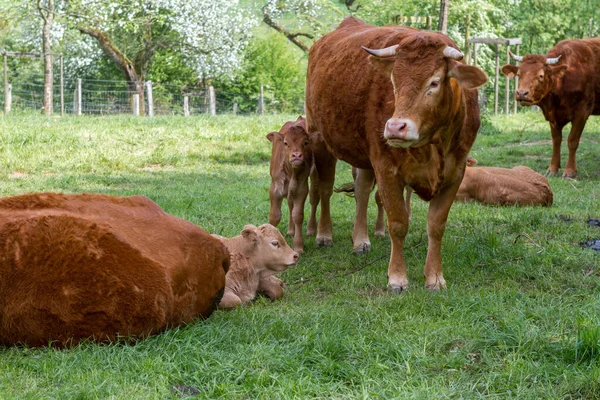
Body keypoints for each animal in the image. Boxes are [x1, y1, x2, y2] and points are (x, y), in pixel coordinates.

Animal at [304, 17, 488, 290]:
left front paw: (435, 277)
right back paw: (324, 234)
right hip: (319, 138)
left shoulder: (456, 172)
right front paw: (397, 277)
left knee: (361, 191)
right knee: (325, 189)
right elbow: (398, 223)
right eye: (393, 82)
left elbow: (436, 225)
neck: (433, 146)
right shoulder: (386, 168)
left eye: (434, 82)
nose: (394, 127)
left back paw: (360, 239)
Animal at [502, 37, 600, 178]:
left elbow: (572, 140)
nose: (521, 93)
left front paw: (570, 171)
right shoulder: (553, 116)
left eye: (540, 75)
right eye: (519, 74)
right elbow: (556, 140)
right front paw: (553, 168)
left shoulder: (582, 111)